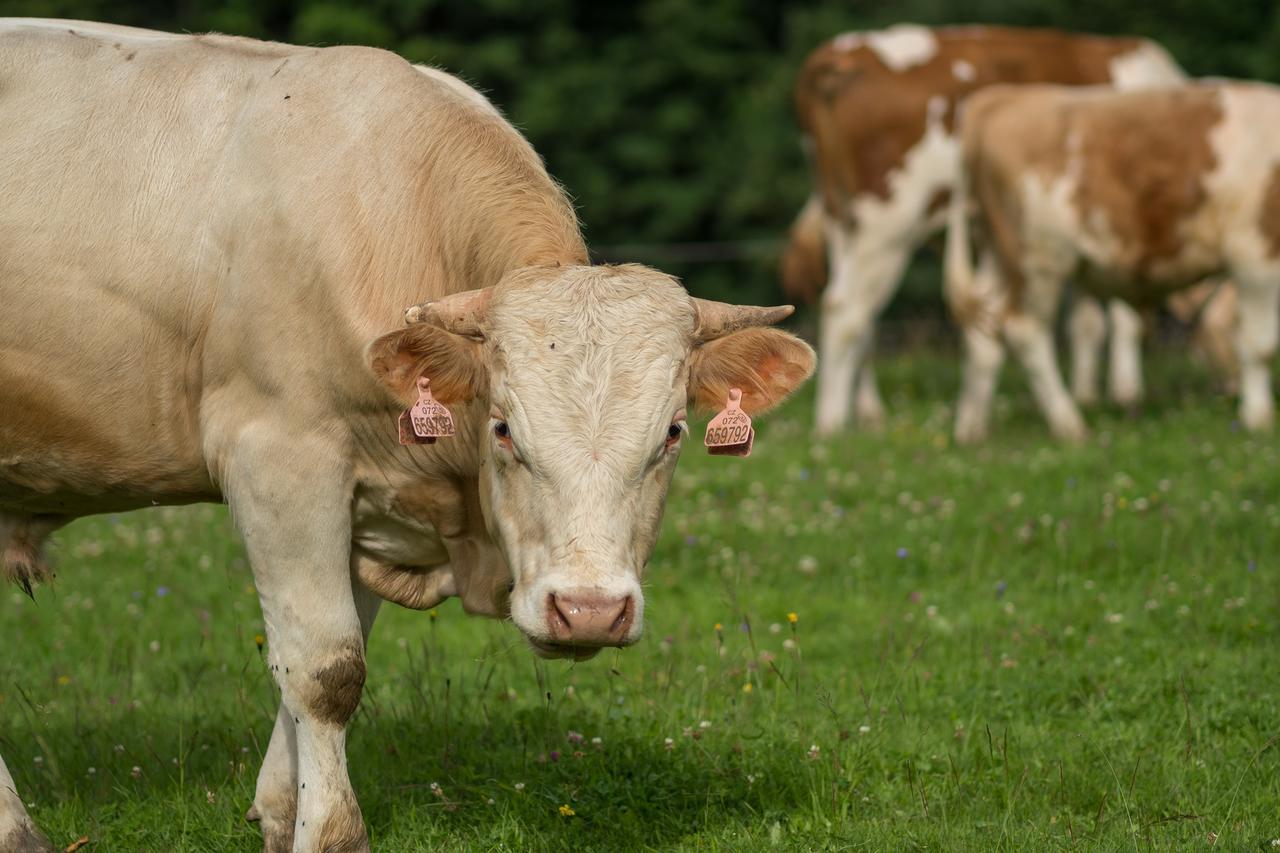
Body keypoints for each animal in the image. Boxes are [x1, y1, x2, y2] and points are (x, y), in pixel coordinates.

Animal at [0, 19, 814, 850]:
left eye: (674, 431)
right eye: (503, 427)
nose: (589, 610)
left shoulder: (361, 500)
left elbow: (318, 660)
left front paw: (281, 808)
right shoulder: (279, 460)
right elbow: (324, 668)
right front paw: (330, 831)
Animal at [788, 23, 1187, 435]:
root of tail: (840, 54)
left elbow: (1087, 320)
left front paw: (1088, 393)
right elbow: (1124, 315)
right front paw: (1125, 394)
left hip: (843, 220)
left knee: (863, 316)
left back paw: (870, 415)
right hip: (887, 222)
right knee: (845, 310)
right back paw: (832, 424)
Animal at [947, 80, 1274, 440]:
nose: (1228, 389)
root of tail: (1000, 98)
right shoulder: (1255, 253)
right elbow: (1260, 344)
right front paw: (1259, 419)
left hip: (996, 253)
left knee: (982, 332)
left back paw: (972, 430)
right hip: (1038, 258)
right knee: (1024, 330)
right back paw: (1069, 424)